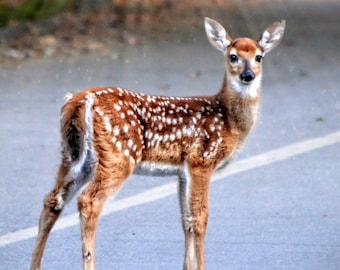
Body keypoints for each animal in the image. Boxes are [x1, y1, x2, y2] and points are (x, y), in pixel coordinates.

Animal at [30, 17, 284, 270]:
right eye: (233, 56)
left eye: (259, 57)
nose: (248, 75)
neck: (228, 120)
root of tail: (80, 101)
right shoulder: (202, 159)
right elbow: (200, 218)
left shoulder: (183, 171)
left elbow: (186, 220)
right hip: (117, 155)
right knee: (88, 201)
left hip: (73, 155)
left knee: (53, 200)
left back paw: (35, 264)